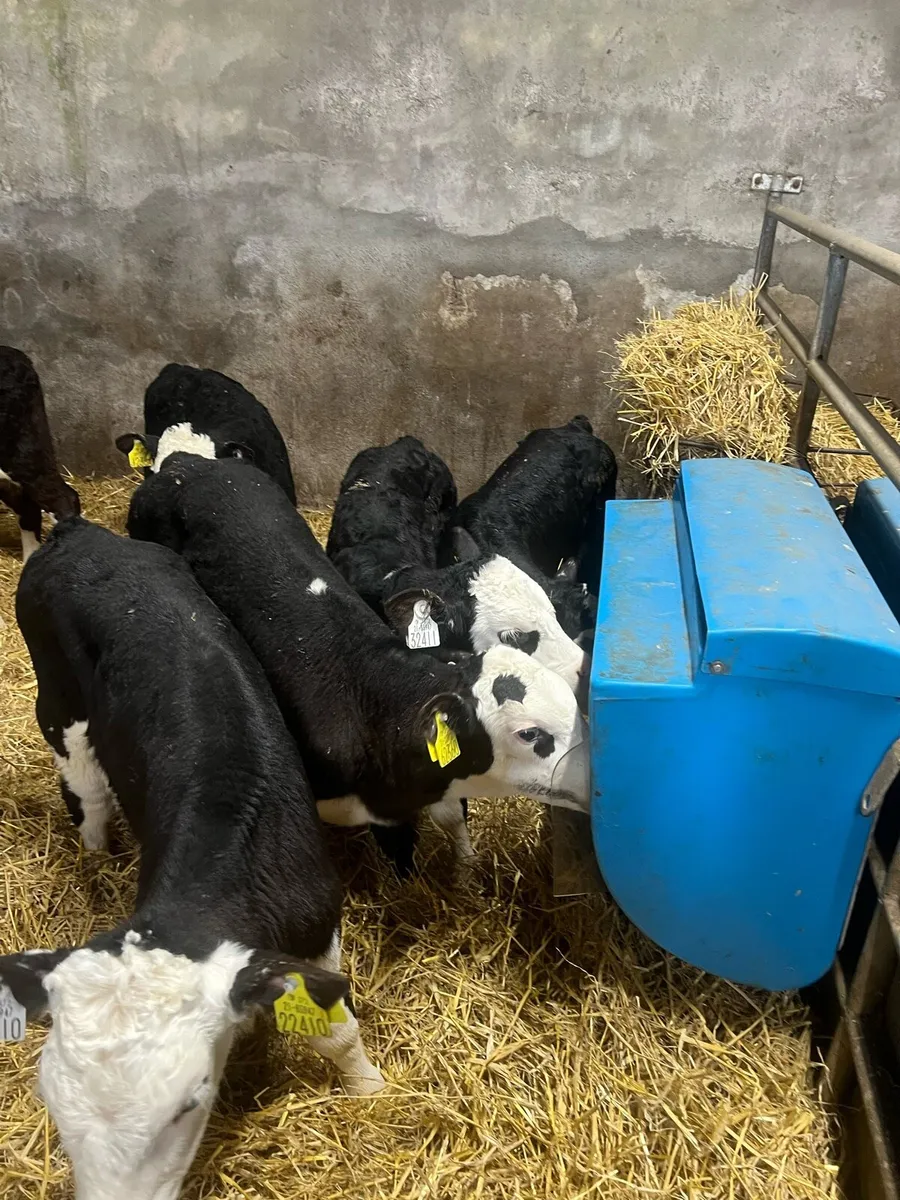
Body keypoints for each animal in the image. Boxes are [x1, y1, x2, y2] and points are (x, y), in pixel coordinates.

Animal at [3, 517, 383, 1200]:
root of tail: (76, 531)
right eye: (54, 1106)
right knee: (87, 794)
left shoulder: (316, 918)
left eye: (191, 1101)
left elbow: (336, 1029)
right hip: (61, 711)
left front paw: (370, 1090)